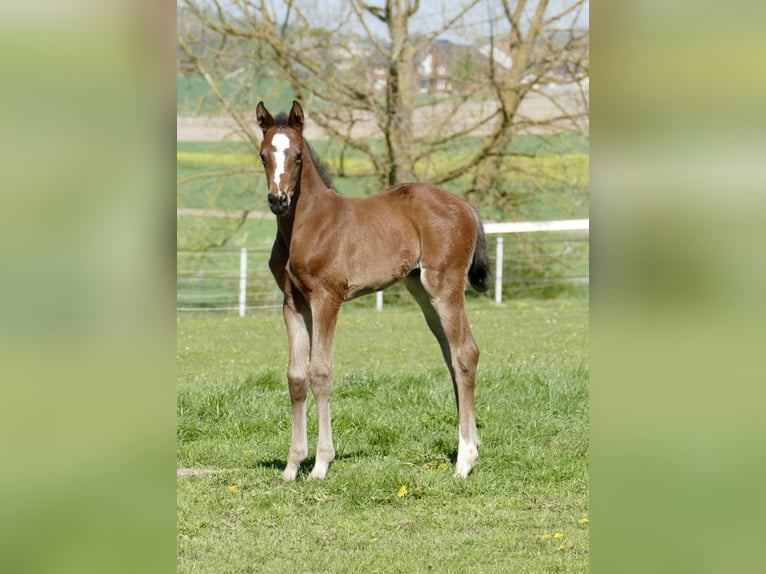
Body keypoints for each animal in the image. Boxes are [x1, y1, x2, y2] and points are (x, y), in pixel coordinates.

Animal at [255, 100, 491, 481]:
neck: (308, 226)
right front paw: (292, 467)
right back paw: (471, 447)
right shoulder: (292, 303)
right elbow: (296, 377)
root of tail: (466, 207)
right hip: (421, 291)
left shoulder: (327, 298)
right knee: (452, 357)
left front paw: (321, 464)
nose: (279, 200)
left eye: (298, 156)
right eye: (263, 155)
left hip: (445, 284)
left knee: (466, 353)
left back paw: (464, 461)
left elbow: (320, 372)